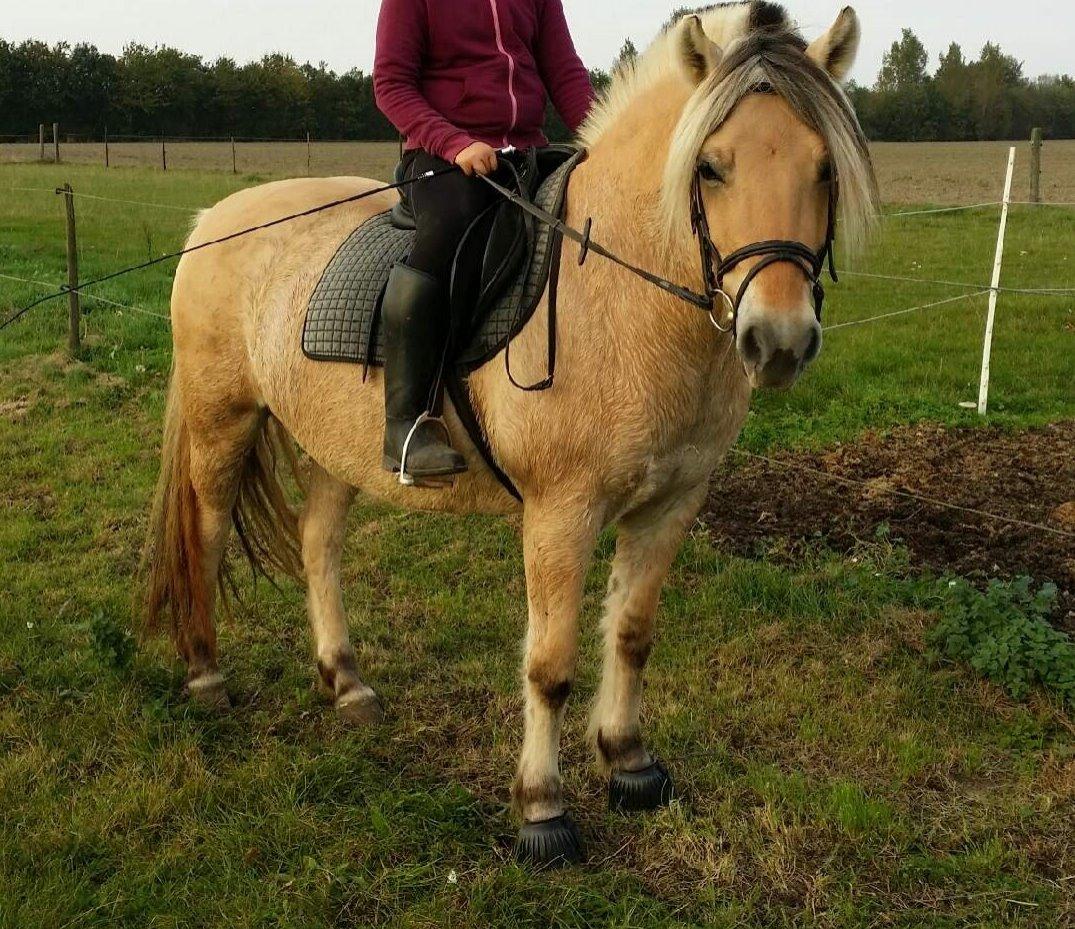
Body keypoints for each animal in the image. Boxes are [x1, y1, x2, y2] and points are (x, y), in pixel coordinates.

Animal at [142, 3, 877, 868]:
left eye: (825, 169)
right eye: (710, 168)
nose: (778, 340)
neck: (624, 296)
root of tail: (215, 219)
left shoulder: (671, 504)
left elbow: (632, 633)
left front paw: (629, 763)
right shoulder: (561, 512)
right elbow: (550, 664)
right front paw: (542, 808)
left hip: (333, 445)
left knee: (318, 544)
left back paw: (346, 681)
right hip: (221, 420)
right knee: (206, 533)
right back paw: (204, 675)